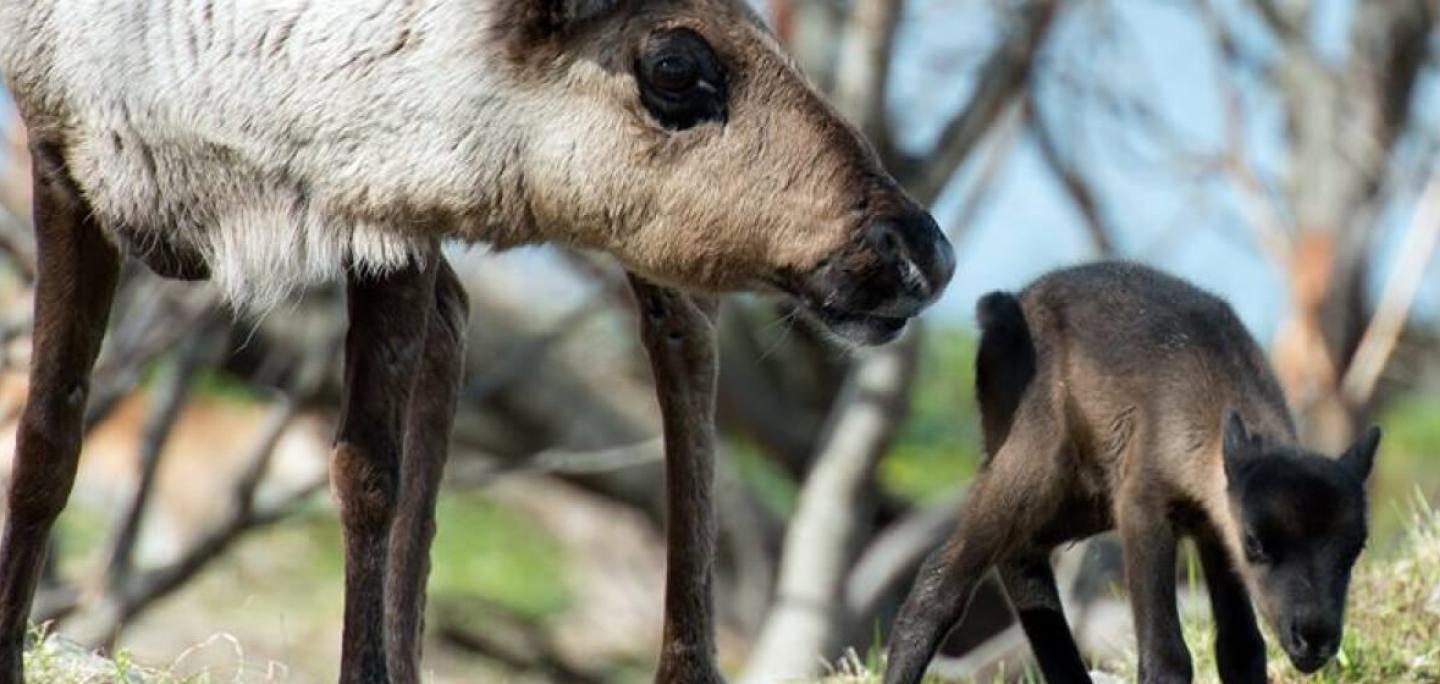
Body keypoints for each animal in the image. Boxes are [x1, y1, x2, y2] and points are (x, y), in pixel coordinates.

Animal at [881, 263, 1376, 684]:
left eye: (1356, 549)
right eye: (1255, 543)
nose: (1313, 640)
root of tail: (1003, 306)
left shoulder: (1214, 527)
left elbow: (1241, 649)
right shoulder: (1143, 506)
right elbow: (1166, 657)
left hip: (1083, 498)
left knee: (1021, 555)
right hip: (1038, 458)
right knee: (945, 576)